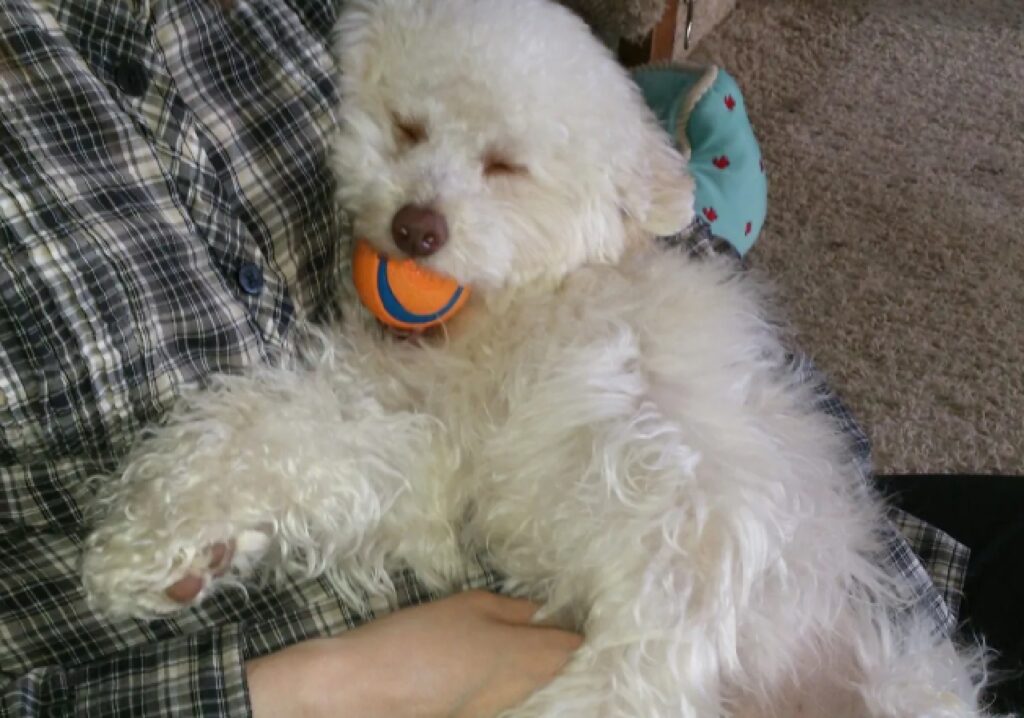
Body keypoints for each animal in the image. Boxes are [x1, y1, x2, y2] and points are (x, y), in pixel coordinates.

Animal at [81, 0, 991, 712]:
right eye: (408, 128)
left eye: (505, 166)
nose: (417, 230)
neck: (535, 292)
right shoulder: (433, 438)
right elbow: (276, 432)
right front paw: (169, 547)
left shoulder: (683, 481)